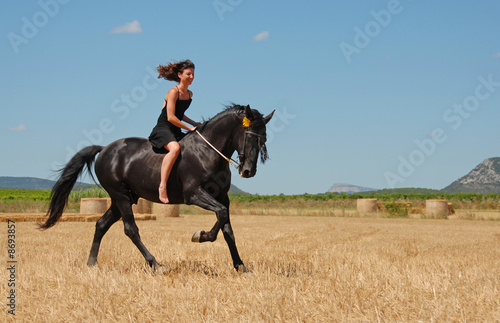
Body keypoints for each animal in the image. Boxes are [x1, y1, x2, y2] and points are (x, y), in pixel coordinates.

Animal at [40, 105, 274, 272]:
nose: (248, 171)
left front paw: (240, 266)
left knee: (101, 224)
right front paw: (200, 235)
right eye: (249, 136)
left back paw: (92, 263)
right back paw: (156, 264)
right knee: (130, 229)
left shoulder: (223, 197)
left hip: (122, 198)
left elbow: (227, 228)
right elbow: (221, 215)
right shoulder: (194, 194)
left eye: (264, 140)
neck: (208, 151)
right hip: (120, 195)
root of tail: (105, 149)